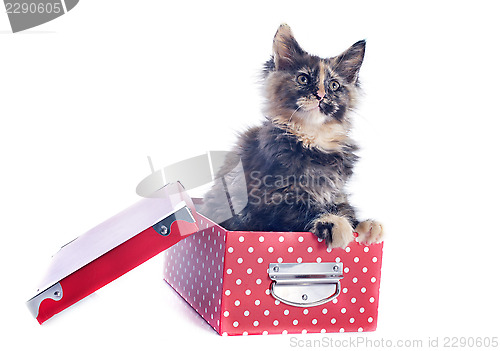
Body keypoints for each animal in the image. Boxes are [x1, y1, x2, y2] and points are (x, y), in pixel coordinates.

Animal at [199, 23, 382, 249]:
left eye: (334, 85)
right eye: (303, 79)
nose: (321, 95)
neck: (313, 139)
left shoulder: (336, 190)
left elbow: (343, 205)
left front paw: (364, 224)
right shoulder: (266, 199)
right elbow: (301, 209)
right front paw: (334, 223)